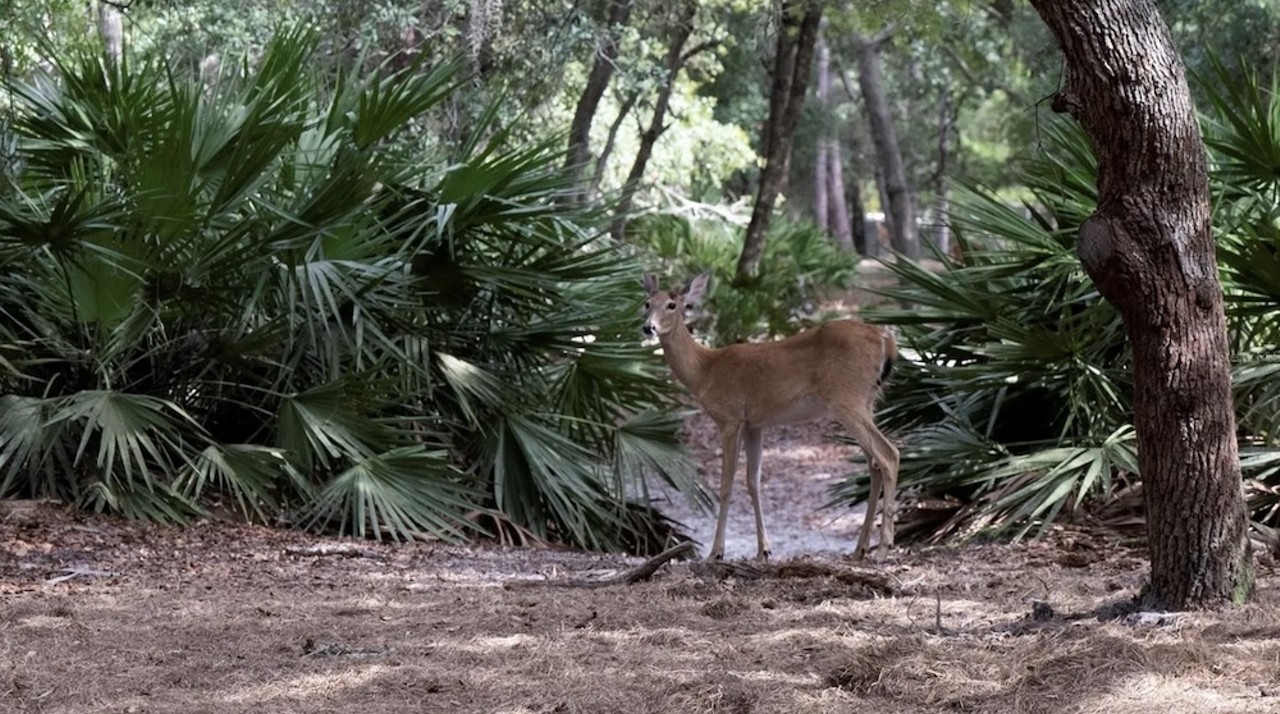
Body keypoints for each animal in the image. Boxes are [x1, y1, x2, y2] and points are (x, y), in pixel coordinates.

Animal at [640, 273, 901, 565]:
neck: (704, 370)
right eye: (647, 303)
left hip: (847, 398)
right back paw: (860, 549)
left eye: (672, 304)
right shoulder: (755, 424)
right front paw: (763, 550)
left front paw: (716, 552)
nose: (648, 327)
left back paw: (884, 548)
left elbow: (726, 485)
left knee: (889, 454)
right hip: (867, 401)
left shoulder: (729, 418)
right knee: (874, 465)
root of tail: (885, 339)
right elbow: (753, 482)